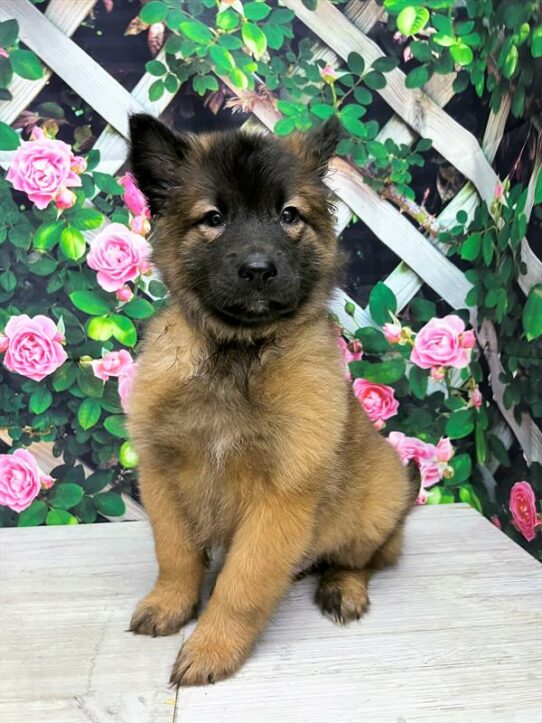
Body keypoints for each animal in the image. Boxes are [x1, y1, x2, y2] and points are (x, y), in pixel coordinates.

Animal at [126, 113, 416, 684]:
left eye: (288, 215)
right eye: (214, 218)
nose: (259, 269)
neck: (237, 354)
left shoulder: (280, 497)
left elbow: (242, 585)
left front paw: (212, 647)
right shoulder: (163, 476)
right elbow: (175, 556)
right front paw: (170, 605)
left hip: (373, 510)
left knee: (364, 559)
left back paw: (342, 588)